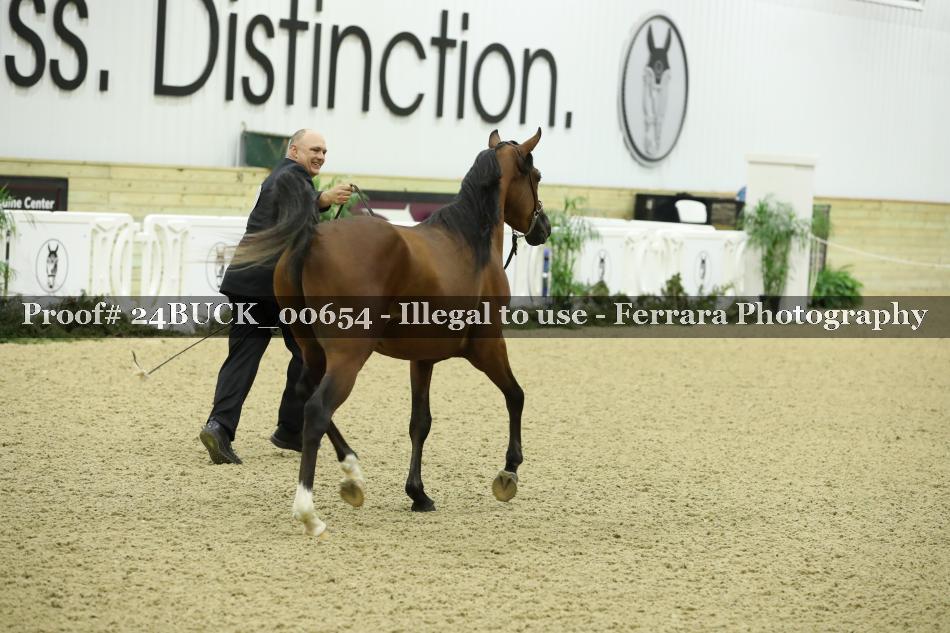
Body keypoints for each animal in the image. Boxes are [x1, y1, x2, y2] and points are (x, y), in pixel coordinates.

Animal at [238, 128, 550, 537]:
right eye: (538, 176)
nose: (544, 228)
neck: (468, 245)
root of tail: (312, 238)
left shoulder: (422, 358)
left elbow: (420, 423)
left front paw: (418, 494)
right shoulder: (487, 347)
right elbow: (516, 395)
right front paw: (509, 473)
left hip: (312, 349)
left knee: (305, 394)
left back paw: (352, 474)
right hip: (350, 355)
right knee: (317, 408)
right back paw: (309, 512)